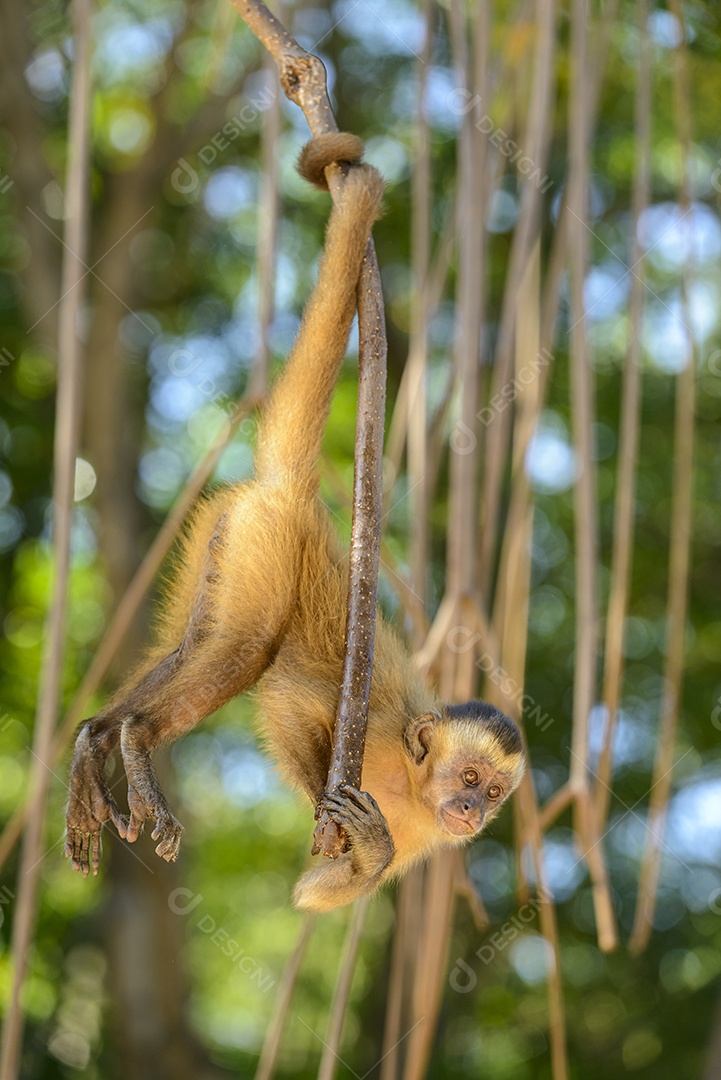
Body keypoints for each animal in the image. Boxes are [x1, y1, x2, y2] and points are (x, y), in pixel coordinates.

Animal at [65, 132, 526, 913]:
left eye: (493, 792)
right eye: (468, 779)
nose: (471, 810)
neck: (412, 783)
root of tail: (294, 496)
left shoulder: (427, 836)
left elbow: (317, 893)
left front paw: (369, 853)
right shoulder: (373, 740)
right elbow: (290, 704)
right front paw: (329, 810)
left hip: (223, 534)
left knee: (194, 641)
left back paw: (96, 740)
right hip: (267, 546)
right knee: (247, 649)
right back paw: (136, 737)